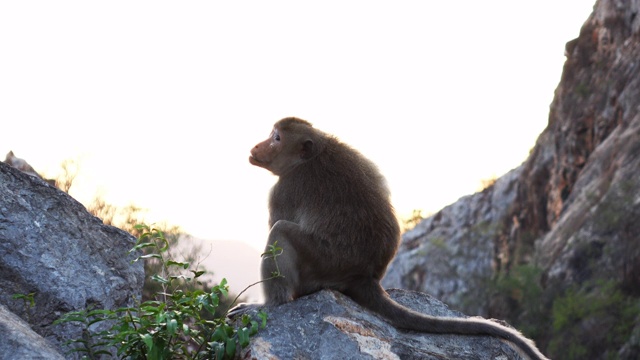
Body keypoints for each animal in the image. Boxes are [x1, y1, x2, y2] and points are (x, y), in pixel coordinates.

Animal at [238, 118, 548, 360]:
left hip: (322, 264)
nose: (257, 146)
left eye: (276, 138)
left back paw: (272, 304)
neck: (309, 157)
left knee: (281, 232)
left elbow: (277, 223)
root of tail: (365, 277)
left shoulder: (283, 191)